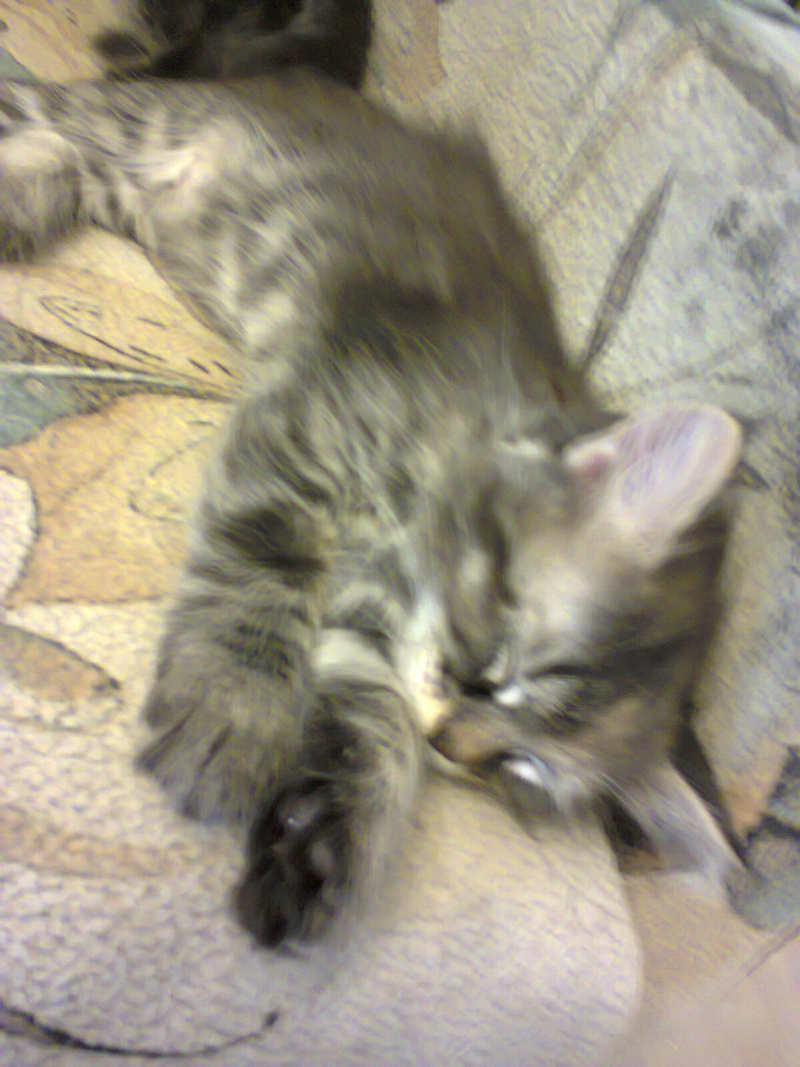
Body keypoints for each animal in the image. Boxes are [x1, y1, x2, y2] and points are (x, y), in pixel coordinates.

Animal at [0, 56, 742, 945]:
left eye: (519, 768)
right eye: (497, 666)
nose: (453, 743)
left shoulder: (367, 640)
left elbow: (378, 730)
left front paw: (321, 843)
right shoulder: (305, 430)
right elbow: (265, 573)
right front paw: (234, 712)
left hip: (124, 180)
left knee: (73, 165)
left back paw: (26, 196)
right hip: (131, 118)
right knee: (44, 118)